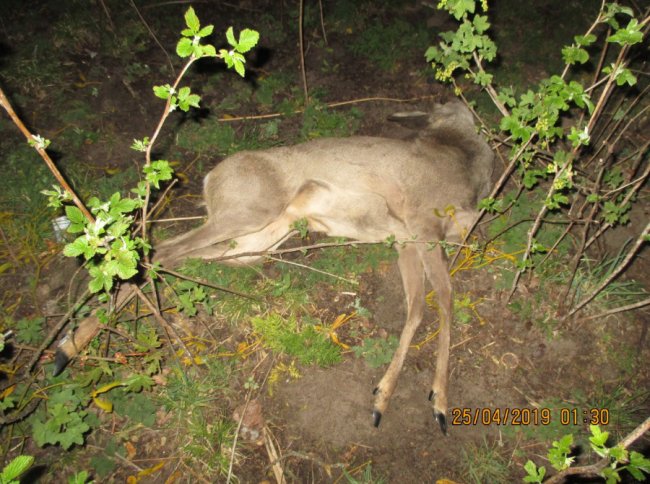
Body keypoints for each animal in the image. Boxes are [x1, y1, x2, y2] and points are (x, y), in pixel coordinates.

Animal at [153, 100, 492, 432]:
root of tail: (210, 177)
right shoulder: (422, 223)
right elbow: (443, 299)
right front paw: (436, 401)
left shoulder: (404, 238)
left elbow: (418, 307)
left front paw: (388, 398)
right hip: (249, 211)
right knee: (165, 249)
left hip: (257, 241)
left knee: (184, 252)